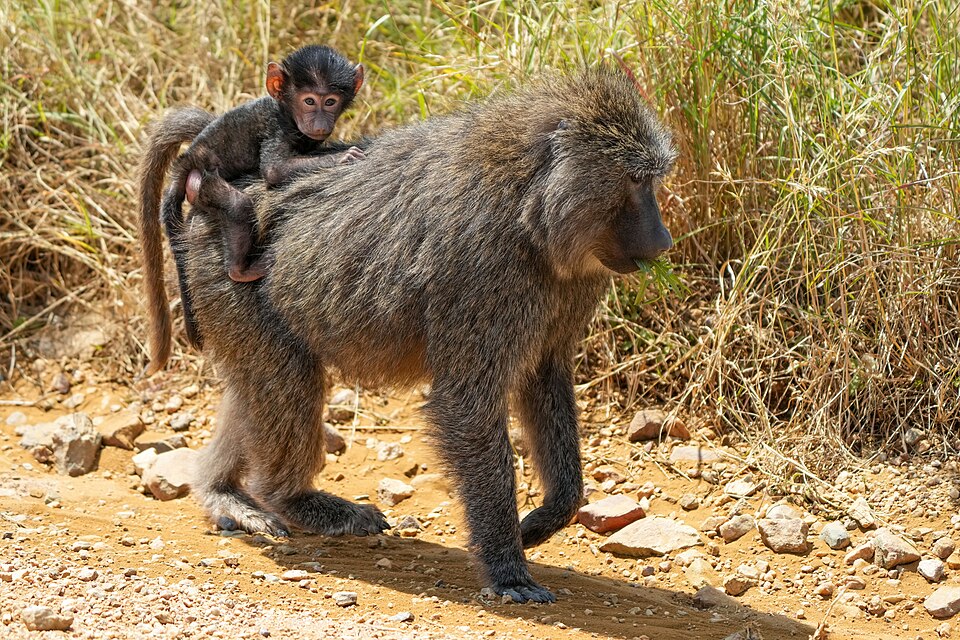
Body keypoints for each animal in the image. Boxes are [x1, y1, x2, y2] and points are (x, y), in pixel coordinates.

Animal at [138, 46, 364, 373]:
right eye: (309, 101)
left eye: (330, 101)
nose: (321, 123)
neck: (286, 112)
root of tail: (185, 164)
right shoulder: (276, 131)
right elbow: (274, 171)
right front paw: (344, 158)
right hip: (202, 184)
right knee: (237, 204)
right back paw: (241, 270)